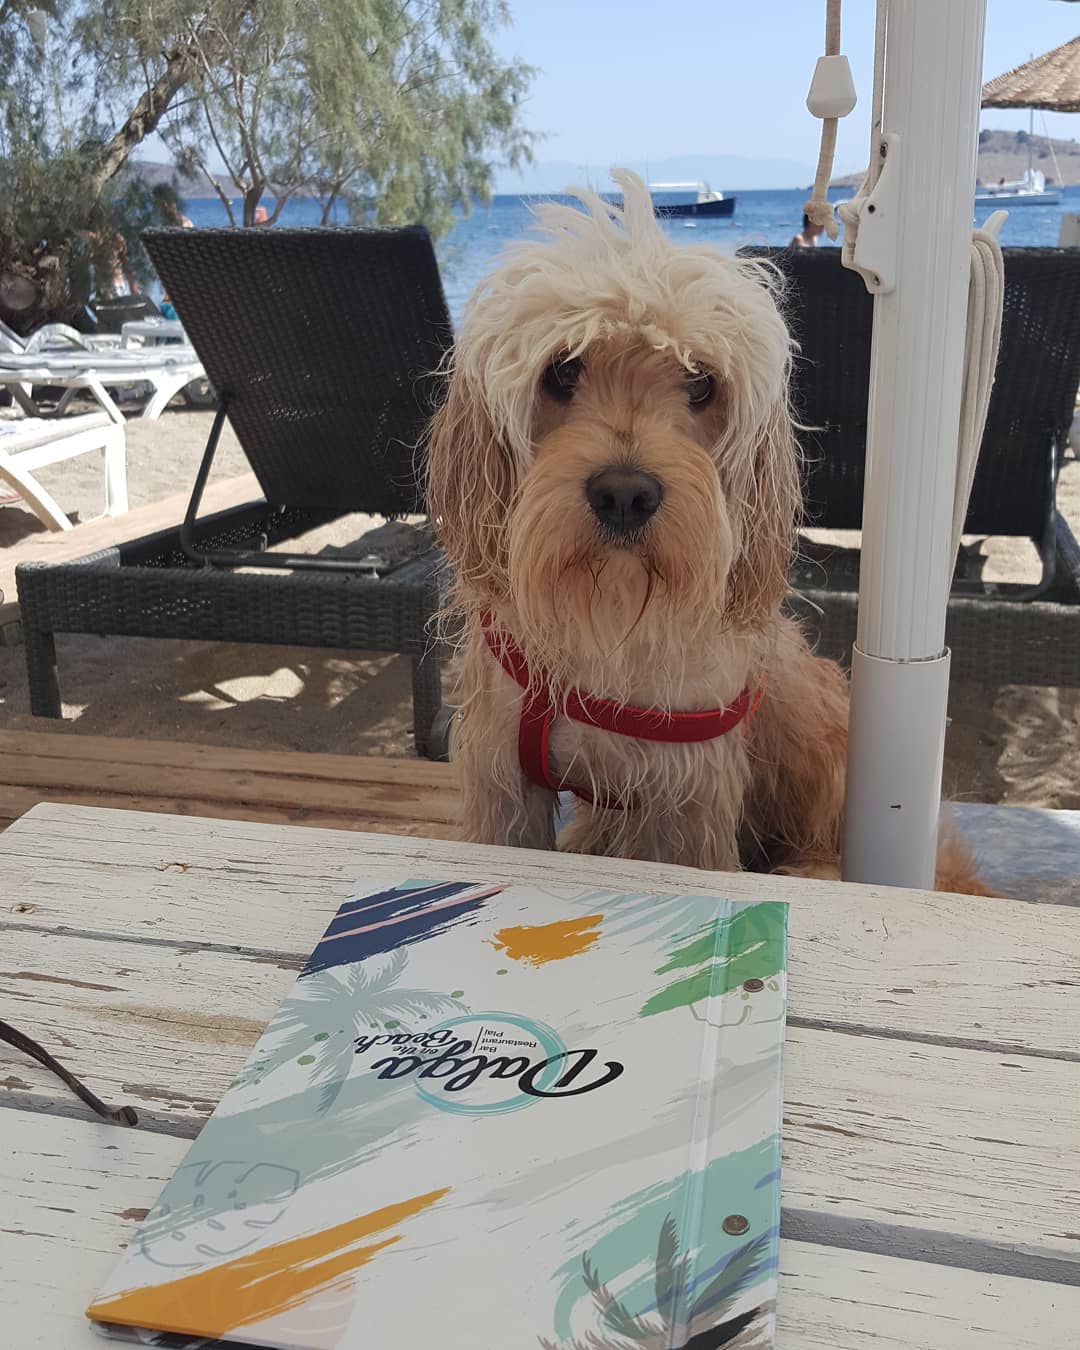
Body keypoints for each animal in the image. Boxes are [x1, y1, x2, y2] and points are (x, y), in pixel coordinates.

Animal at [429, 168, 988, 891]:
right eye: (562, 369)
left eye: (700, 383)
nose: (625, 495)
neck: (612, 618)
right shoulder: (504, 777)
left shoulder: (681, 804)